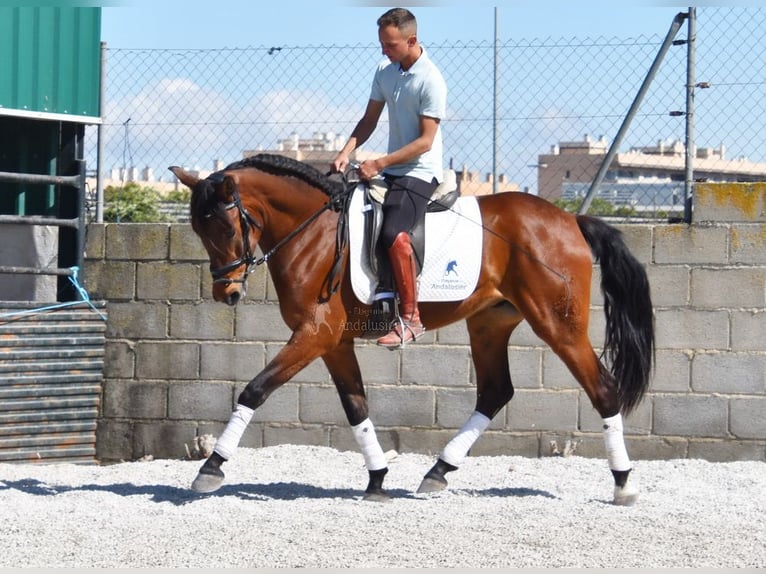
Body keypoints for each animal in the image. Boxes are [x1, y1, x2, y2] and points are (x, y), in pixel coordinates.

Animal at [169, 153, 654, 506]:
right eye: (197, 228)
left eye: (227, 226)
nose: (227, 292)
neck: (315, 234)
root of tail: (570, 220)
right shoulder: (333, 343)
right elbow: (356, 407)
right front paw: (377, 480)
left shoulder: (315, 335)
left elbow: (255, 389)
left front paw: (210, 468)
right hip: (489, 323)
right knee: (495, 392)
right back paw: (437, 473)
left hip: (558, 324)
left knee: (603, 390)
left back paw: (624, 484)